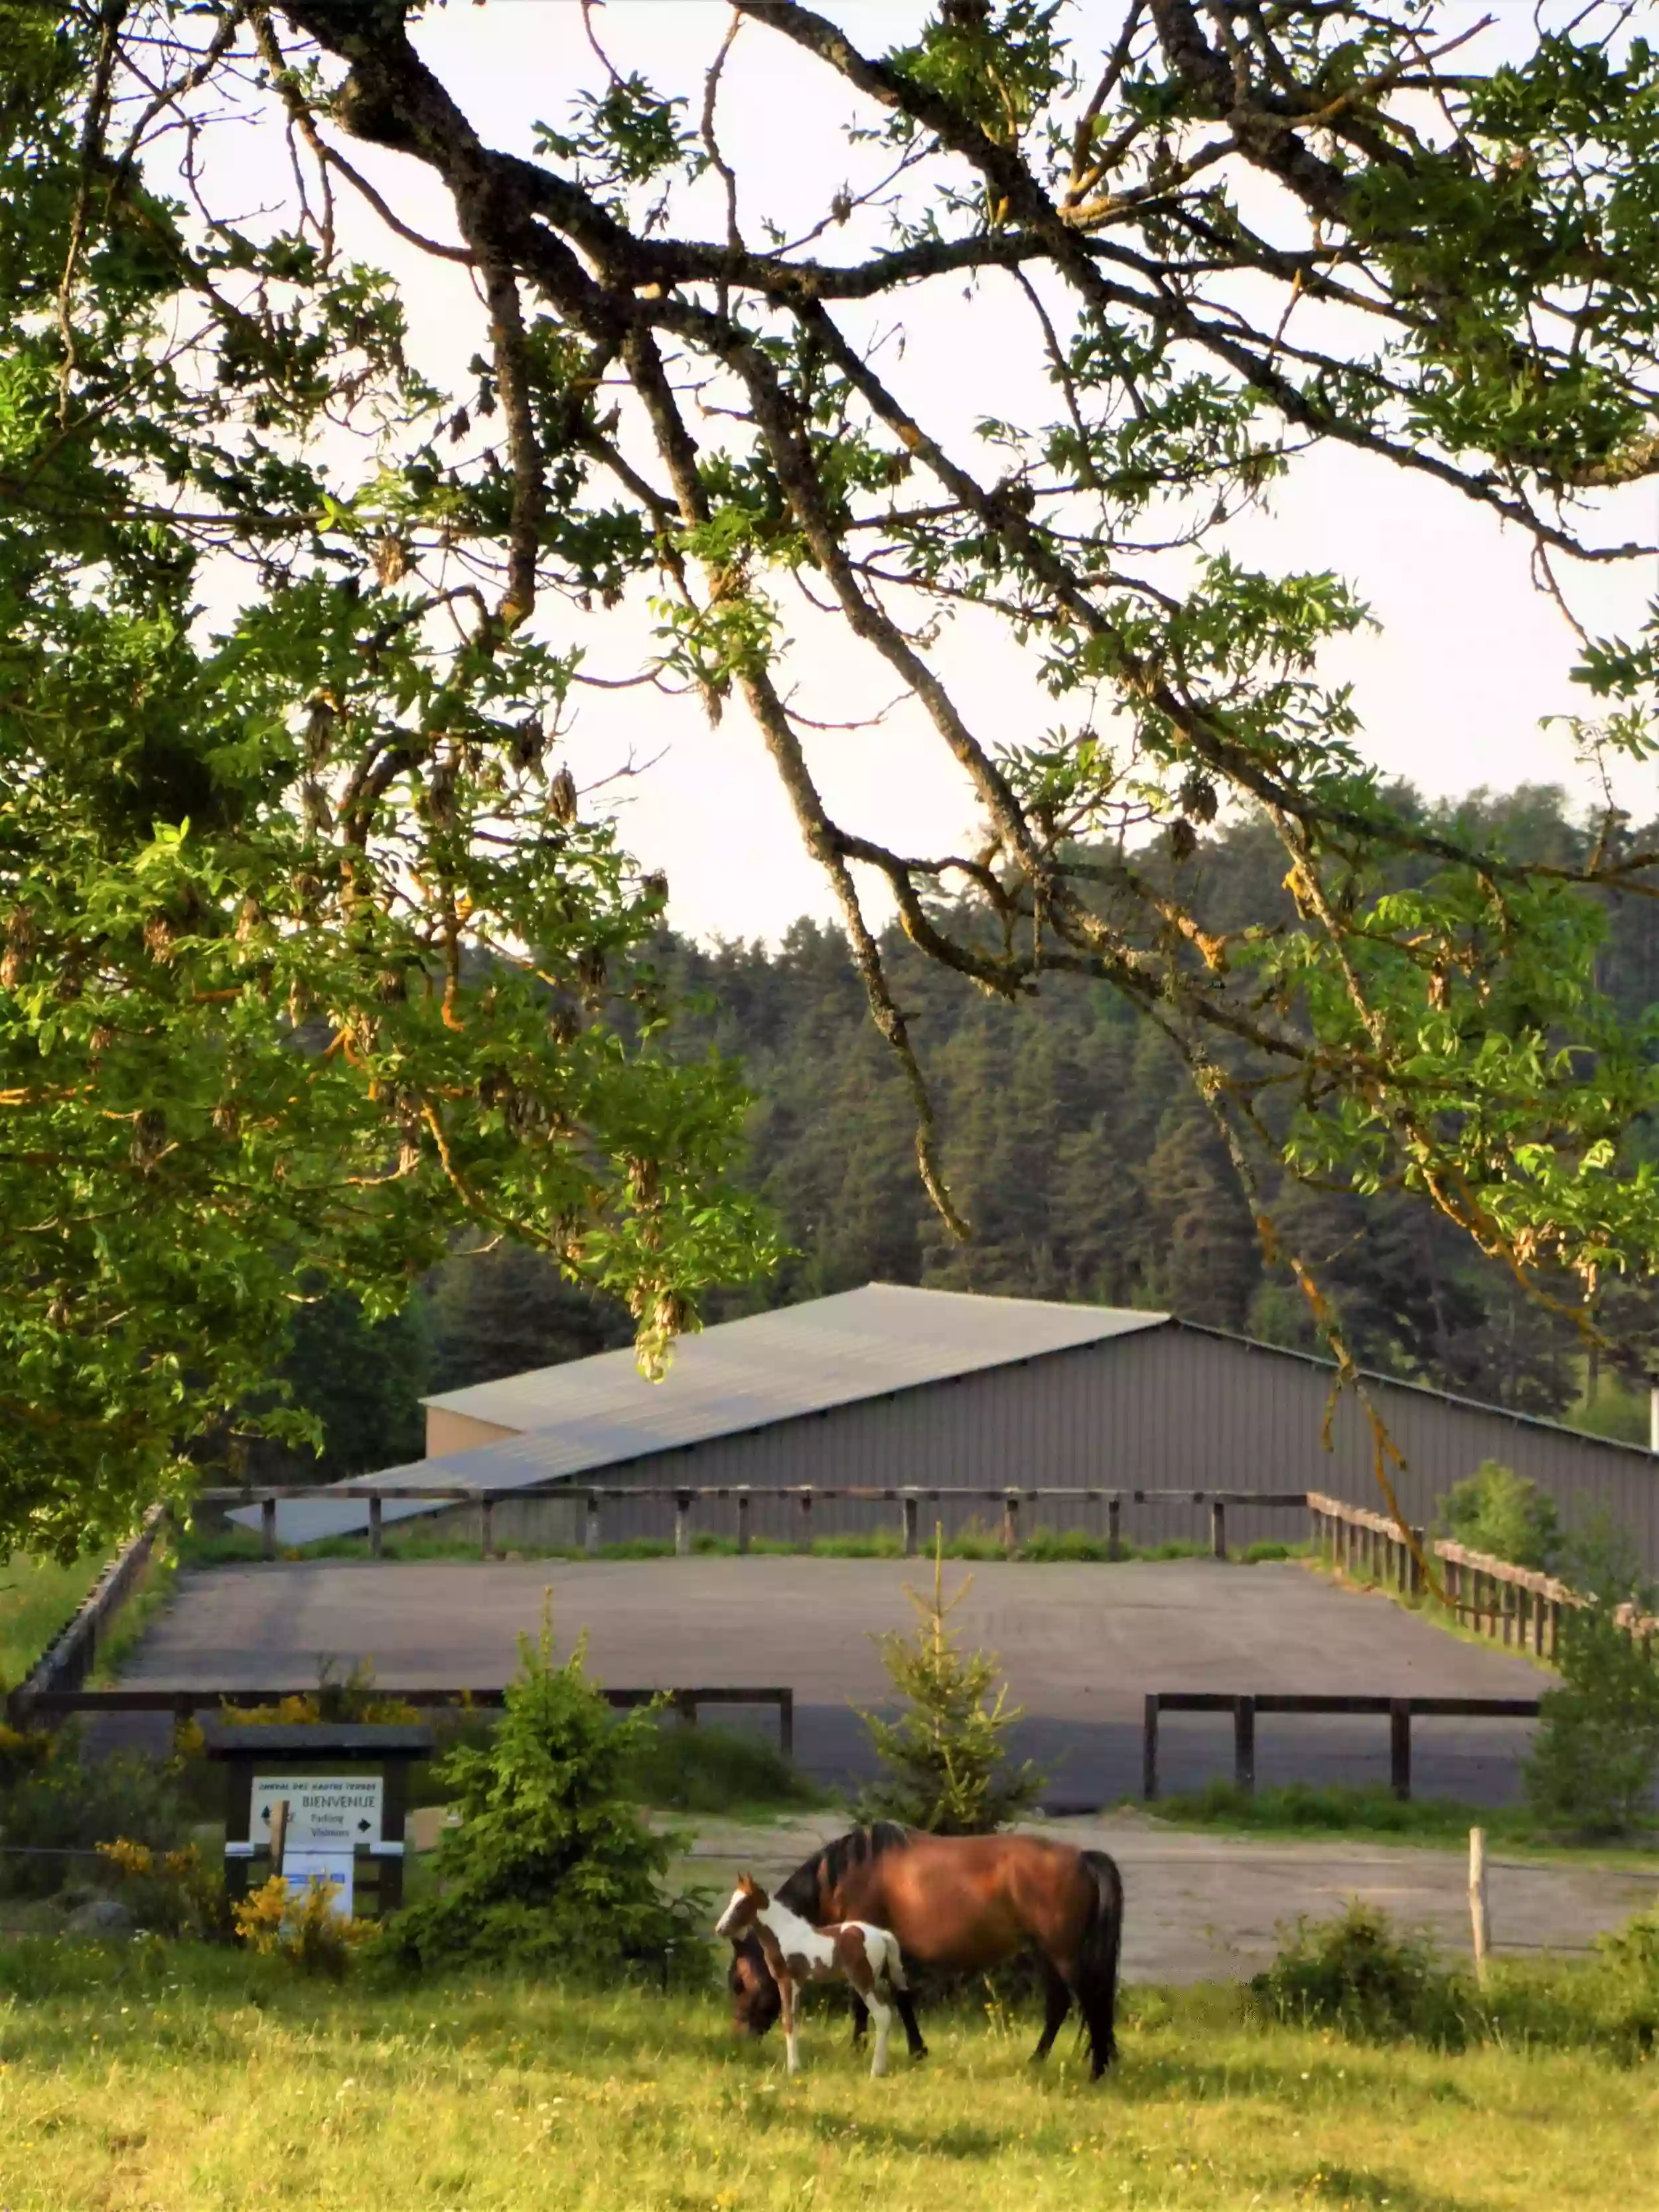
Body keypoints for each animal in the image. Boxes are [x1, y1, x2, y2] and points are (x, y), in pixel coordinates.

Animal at [717, 1867, 916, 2070]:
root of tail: (883, 1935)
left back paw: (876, 2070)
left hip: (863, 1981)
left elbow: (788, 2021)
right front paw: (796, 2065)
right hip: (881, 1978)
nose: (720, 1929)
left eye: (742, 1903)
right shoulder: (797, 1982)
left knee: (882, 2015)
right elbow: (795, 2020)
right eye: (733, 1900)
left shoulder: (786, 1980)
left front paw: (793, 2068)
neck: (785, 1933)